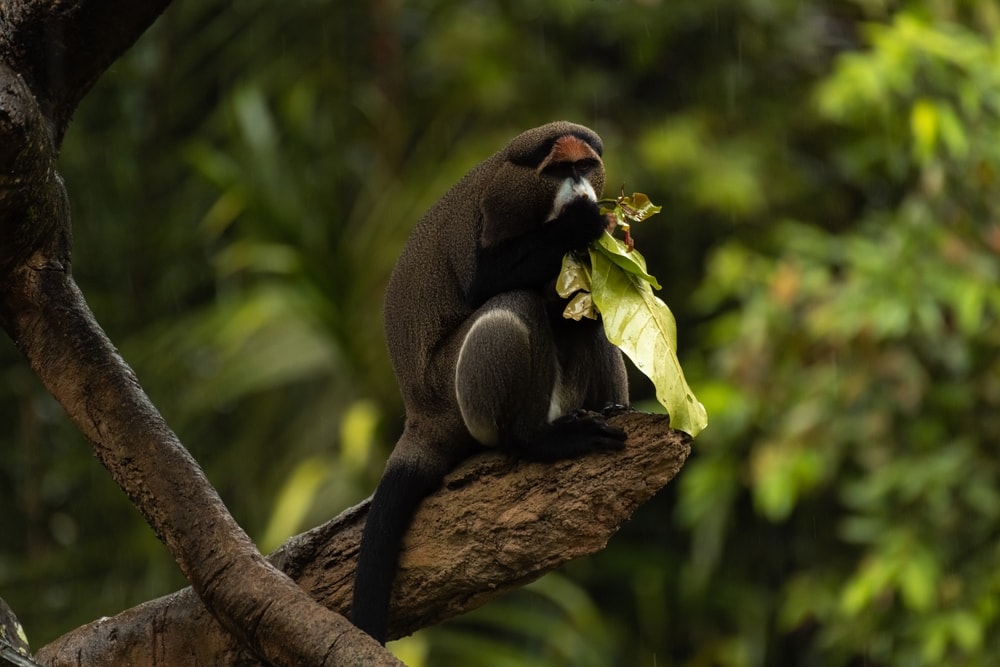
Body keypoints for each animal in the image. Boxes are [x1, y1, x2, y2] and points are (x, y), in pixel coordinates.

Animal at [351, 121, 629, 644]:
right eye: (559, 170)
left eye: (585, 166)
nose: (580, 190)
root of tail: (420, 417)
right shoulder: (496, 206)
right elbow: (486, 283)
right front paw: (582, 225)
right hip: (452, 393)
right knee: (514, 303)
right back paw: (536, 439)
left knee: (581, 311)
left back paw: (613, 411)